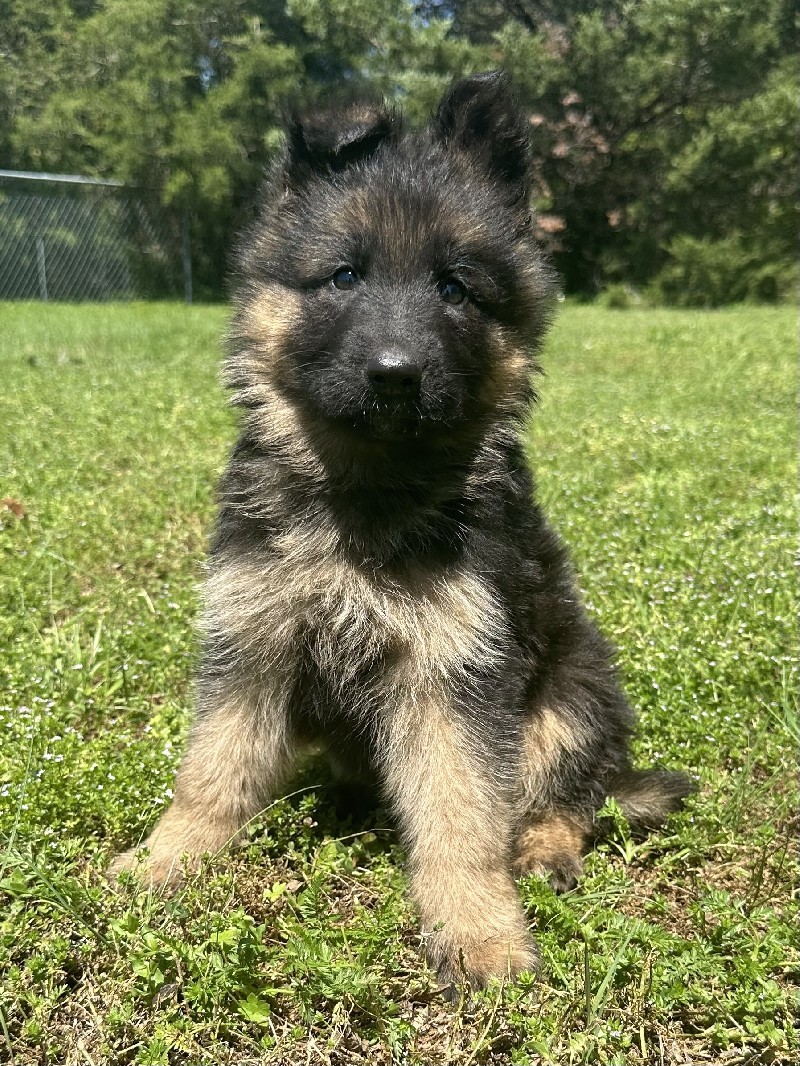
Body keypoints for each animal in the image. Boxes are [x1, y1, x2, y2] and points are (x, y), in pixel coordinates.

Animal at [109, 75, 691, 989]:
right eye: (344, 277)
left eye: (455, 288)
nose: (395, 375)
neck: (367, 493)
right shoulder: (254, 636)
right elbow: (212, 769)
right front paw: (168, 859)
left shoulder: (454, 671)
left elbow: (462, 813)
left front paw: (479, 928)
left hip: (572, 693)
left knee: (569, 798)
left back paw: (543, 851)